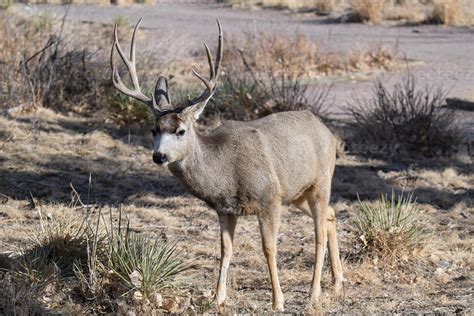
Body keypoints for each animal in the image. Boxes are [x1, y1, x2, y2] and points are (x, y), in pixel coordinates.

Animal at [111, 17, 344, 312]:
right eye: (154, 129)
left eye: (180, 131)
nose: (159, 156)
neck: (225, 172)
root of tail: (327, 131)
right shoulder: (225, 209)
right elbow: (225, 250)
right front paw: (217, 297)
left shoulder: (269, 198)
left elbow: (269, 248)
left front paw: (277, 301)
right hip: (297, 193)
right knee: (331, 215)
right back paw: (337, 282)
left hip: (320, 181)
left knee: (319, 232)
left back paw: (314, 293)